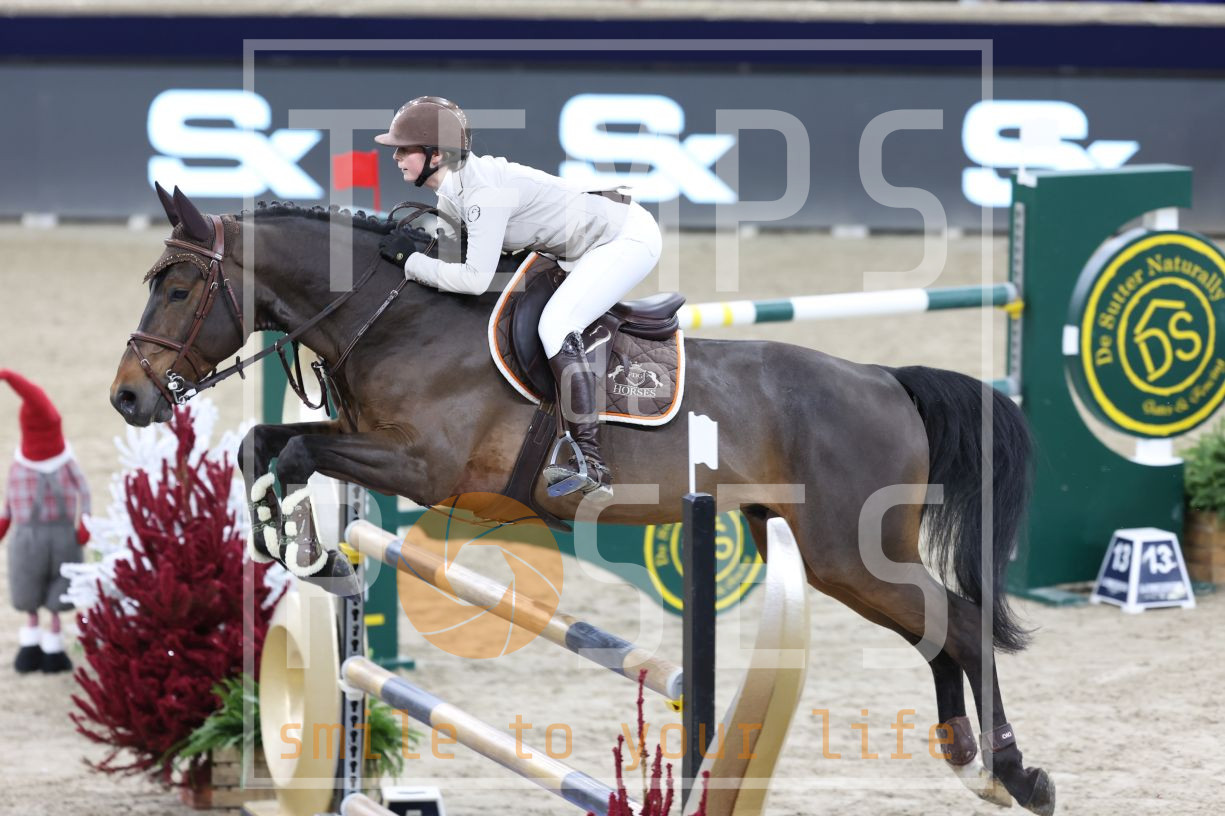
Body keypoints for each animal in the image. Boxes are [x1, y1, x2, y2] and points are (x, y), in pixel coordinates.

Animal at [109, 185, 1054, 815]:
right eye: (151, 280)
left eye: (180, 287)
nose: (127, 397)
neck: (394, 319)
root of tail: (886, 380)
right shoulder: (367, 443)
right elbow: (265, 446)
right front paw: (293, 544)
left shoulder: (422, 466)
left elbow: (296, 447)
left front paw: (298, 542)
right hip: (831, 555)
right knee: (938, 627)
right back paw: (966, 759)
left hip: (846, 552)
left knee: (959, 622)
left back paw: (1016, 774)